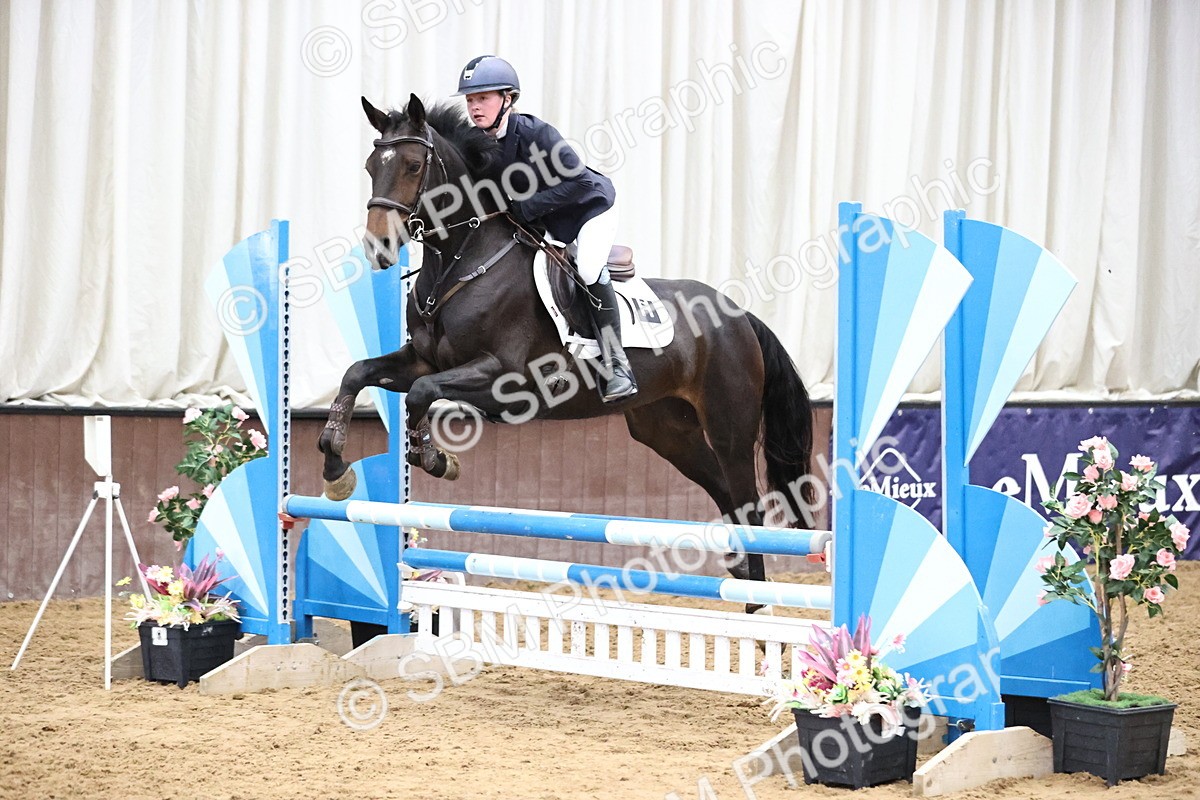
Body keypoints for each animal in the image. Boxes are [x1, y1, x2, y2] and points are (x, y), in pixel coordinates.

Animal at [318, 93, 816, 592]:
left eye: (414, 165)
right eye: (370, 166)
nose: (379, 248)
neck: (462, 261)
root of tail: (739, 314)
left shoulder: (504, 376)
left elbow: (421, 394)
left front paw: (432, 456)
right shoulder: (422, 361)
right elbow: (359, 374)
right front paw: (335, 464)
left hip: (729, 426)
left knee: (749, 506)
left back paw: (755, 597)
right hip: (667, 429)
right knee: (725, 492)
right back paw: (738, 570)